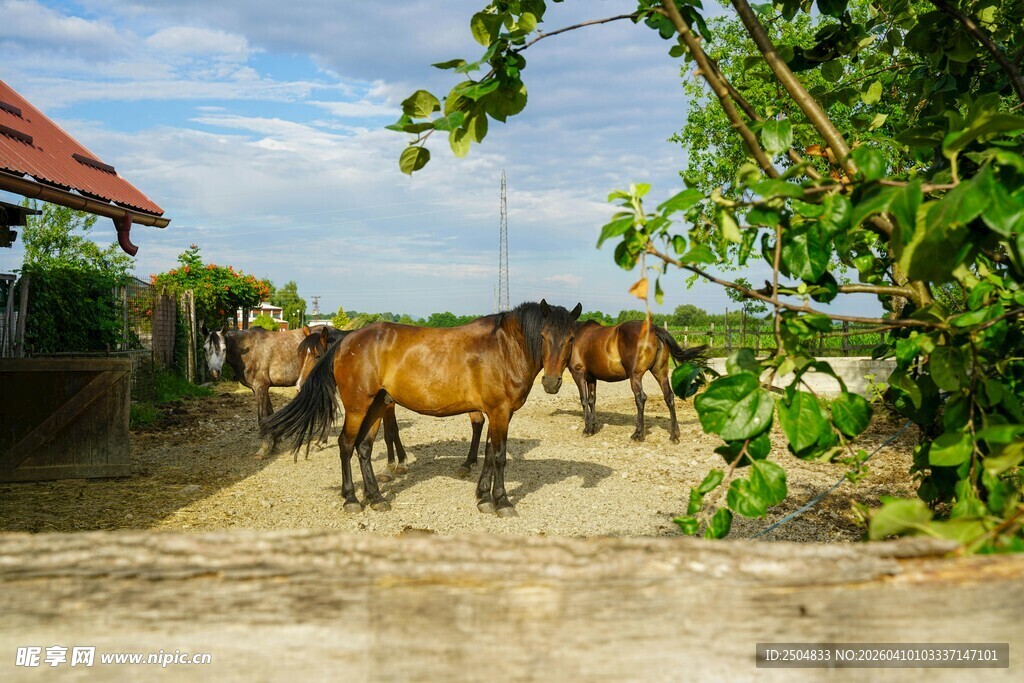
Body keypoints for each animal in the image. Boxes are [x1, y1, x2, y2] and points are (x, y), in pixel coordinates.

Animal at [202, 324, 310, 457]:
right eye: (205, 349)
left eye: (224, 349)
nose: (214, 373)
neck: (250, 351)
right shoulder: (260, 389)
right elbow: (270, 414)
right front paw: (275, 445)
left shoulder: (260, 388)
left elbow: (262, 418)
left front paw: (263, 449)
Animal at [296, 325, 486, 480]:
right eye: (301, 356)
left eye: (317, 356)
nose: (300, 385)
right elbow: (392, 431)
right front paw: (399, 462)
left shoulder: (388, 404)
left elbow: (390, 432)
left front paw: (393, 466)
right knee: (478, 421)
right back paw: (470, 462)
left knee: (477, 422)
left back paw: (468, 463)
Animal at [569, 317, 706, 443]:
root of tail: (653, 329)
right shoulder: (591, 377)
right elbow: (592, 400)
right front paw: (593, 427)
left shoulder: (578, 374)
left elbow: (584, 400)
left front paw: (587, 429)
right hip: (660, 373)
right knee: (669, 396)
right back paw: (674, 435)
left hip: (635, 376)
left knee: (641, 398)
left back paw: (638, 434)